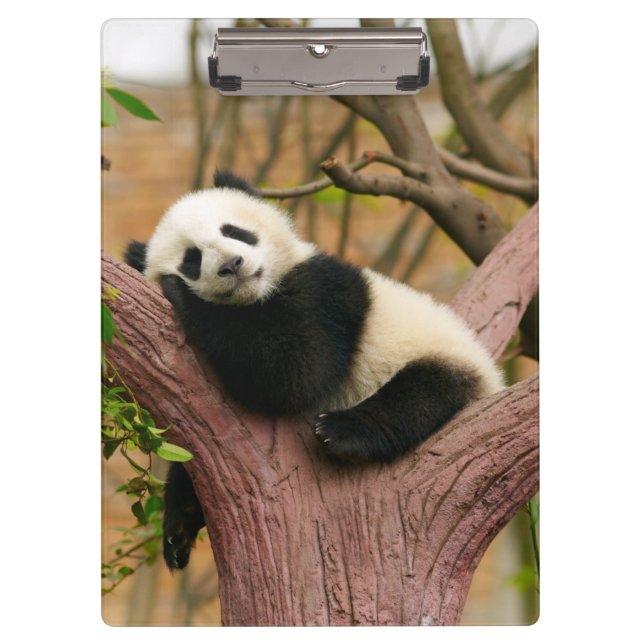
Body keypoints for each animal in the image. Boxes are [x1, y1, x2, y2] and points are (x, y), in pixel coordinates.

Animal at [124, 169, 504, 569]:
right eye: (192, 259)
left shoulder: (324, 292)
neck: (257, 294)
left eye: (234, 231)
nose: (232, 265)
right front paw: (179, 525)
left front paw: (180, 294)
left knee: (421, 394)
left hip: (441, 356)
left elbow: (295, 371)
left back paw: (341, 431)